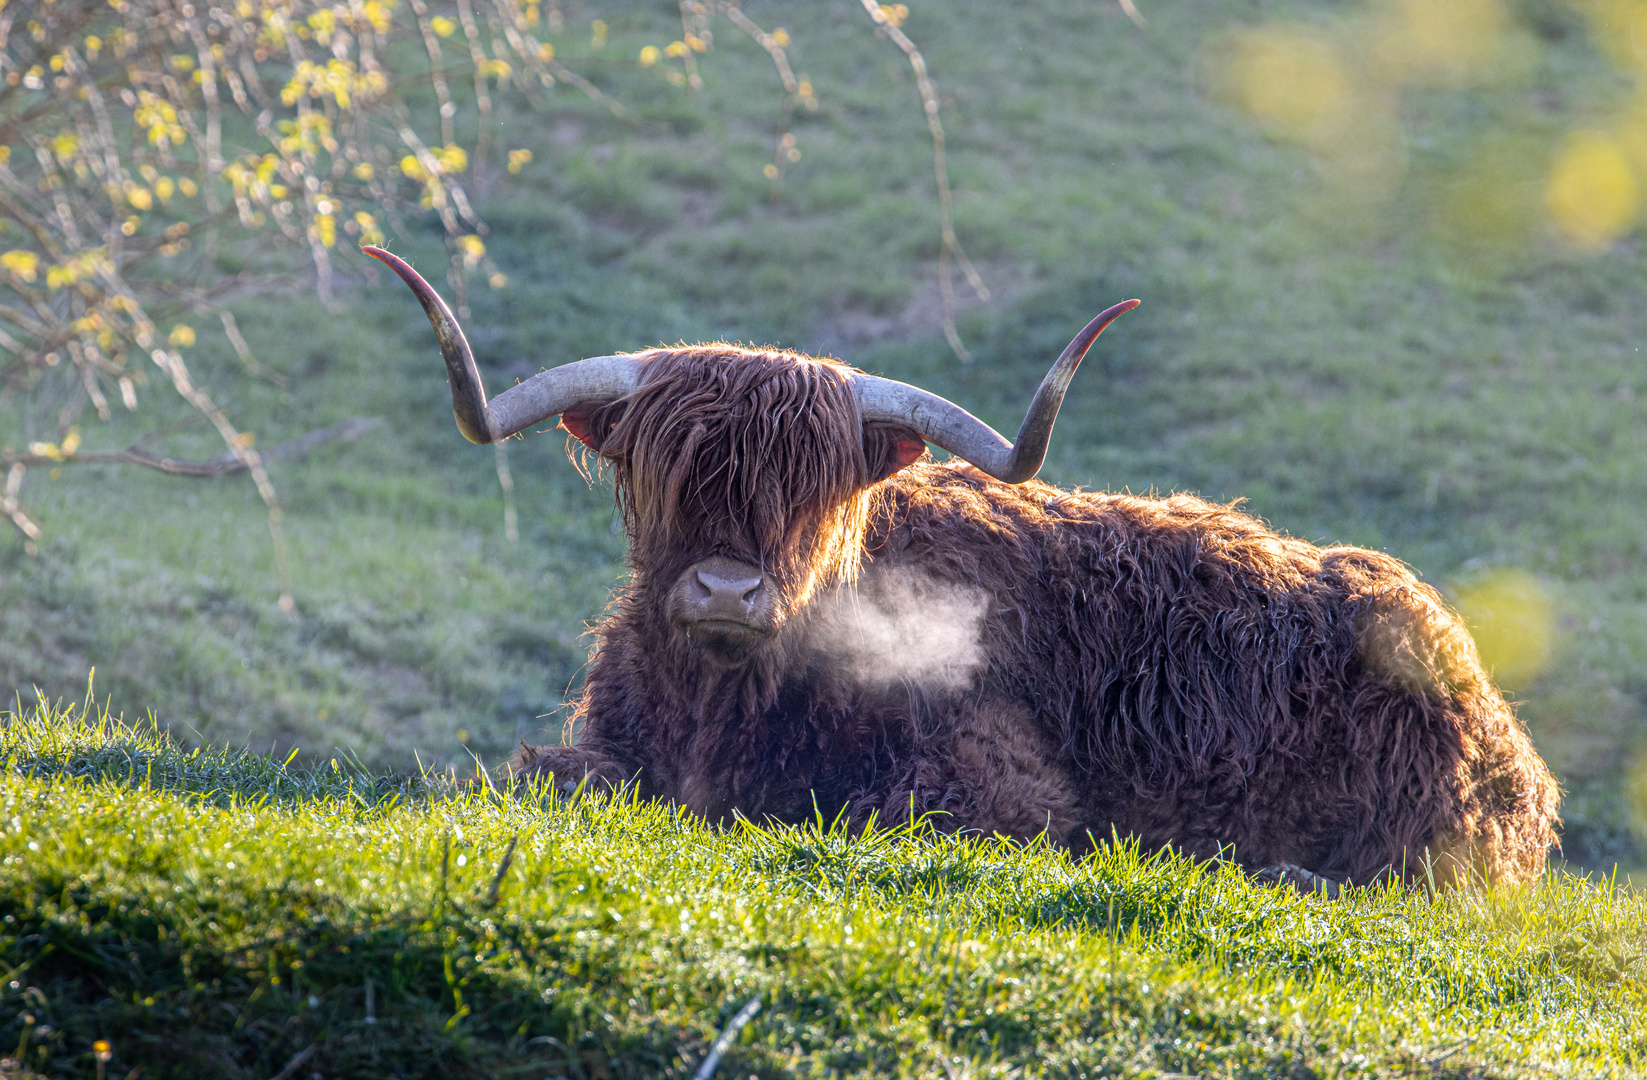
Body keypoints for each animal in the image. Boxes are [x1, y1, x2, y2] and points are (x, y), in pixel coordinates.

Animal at [367, 246, 1561, 895]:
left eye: (814, 489)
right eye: (662, 469)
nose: (725, 592)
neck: (722, 710)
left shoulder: (999, 776)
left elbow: (875, 814)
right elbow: (542, 776)